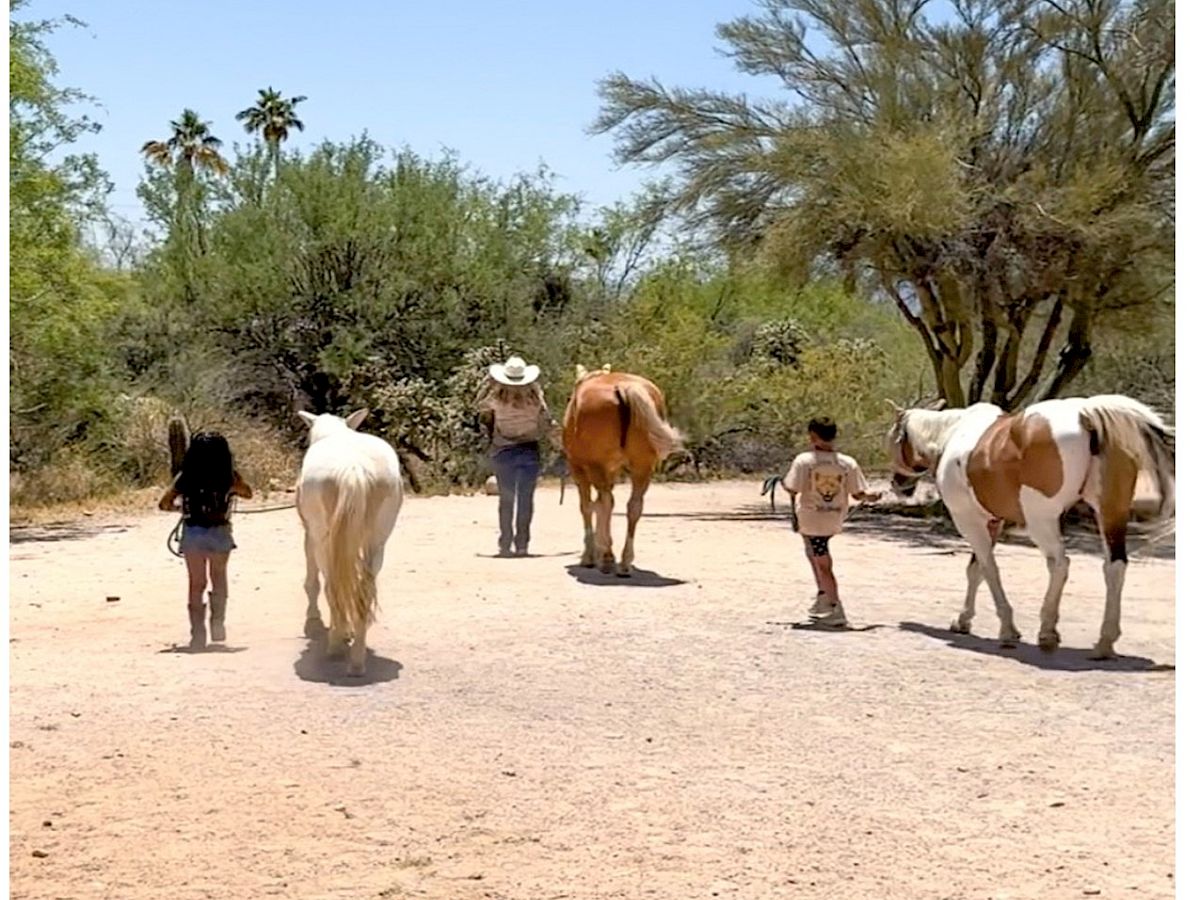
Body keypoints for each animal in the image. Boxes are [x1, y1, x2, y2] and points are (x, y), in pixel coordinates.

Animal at [295, 408, 403, 676]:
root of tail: (354, 467)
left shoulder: (309, 535)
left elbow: (312, 582)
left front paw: (314, 621)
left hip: (323, 540)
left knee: (331, 585)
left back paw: (336, 645)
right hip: (377, 542)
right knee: (364, 588)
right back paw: (356, 658)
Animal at [561, 367, 686, 578]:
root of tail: (625, 387)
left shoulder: (580, 470)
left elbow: (587, 507)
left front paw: (590, 555)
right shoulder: (610, 472)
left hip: (596, 468)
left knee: (606, 503)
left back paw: (608, 559)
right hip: (642, 469)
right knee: (634, 507)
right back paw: (625, 563)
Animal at [888, 393, 1176, 662]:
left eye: (894, 439)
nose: (898, 483)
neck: (953, 432)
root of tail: (1086, 414)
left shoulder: (969, 521)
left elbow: (989, 570)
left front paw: (1007, 629)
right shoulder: (994, 522)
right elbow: (975, 570)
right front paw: (963, 620)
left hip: (1041, 521)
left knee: (1059, 563)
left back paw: (1048, 632)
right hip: (1110, 514)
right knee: (1114, 567)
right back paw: (1104, 642)